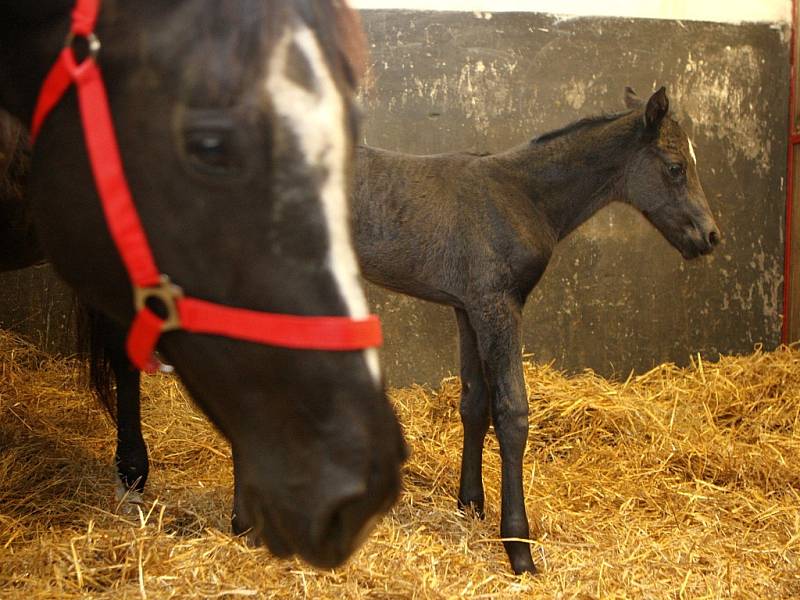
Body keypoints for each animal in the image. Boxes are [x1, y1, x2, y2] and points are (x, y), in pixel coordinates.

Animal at [354, 86, 720, 576]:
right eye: (676, 166)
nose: (710, 237)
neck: (522, 196)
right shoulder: (499, 306)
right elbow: (512, 414)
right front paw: (518, 546)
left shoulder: (468, 308)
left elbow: (474, 402)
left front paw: (470, 504)